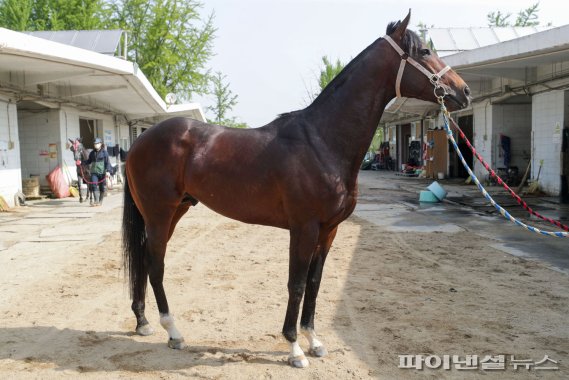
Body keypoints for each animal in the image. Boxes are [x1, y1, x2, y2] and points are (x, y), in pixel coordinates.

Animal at [122, 12, 468, 368]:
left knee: (146, 259)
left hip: (174, 211)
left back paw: (143, 322)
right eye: (424, 51)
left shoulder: (328, 230)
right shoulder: (304, 228)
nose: (463, 91)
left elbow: (314, 284)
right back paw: (173, 332)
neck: (322, 141)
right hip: (160, 213)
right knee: (156, 264)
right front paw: (294, 348)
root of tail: (139, 140)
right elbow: (297, 284)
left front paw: (313, 341)